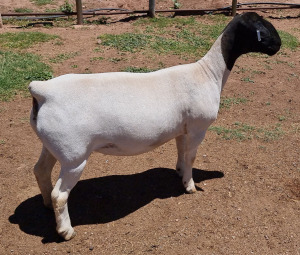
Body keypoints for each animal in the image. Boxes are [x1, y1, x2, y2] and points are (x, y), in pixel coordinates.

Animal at [28, 11, 282, 240]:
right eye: (260, 26)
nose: (278, 45)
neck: (209, 73)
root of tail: (43, 91)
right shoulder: (198, 128)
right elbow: (191, 157)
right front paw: (189, 186)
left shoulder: (183, 128)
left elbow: (181, 152)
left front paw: (180, 172)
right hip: (74, 154)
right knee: (60, 194)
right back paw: (66, 231)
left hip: (53, 145)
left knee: (41, 171)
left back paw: (47, 205)